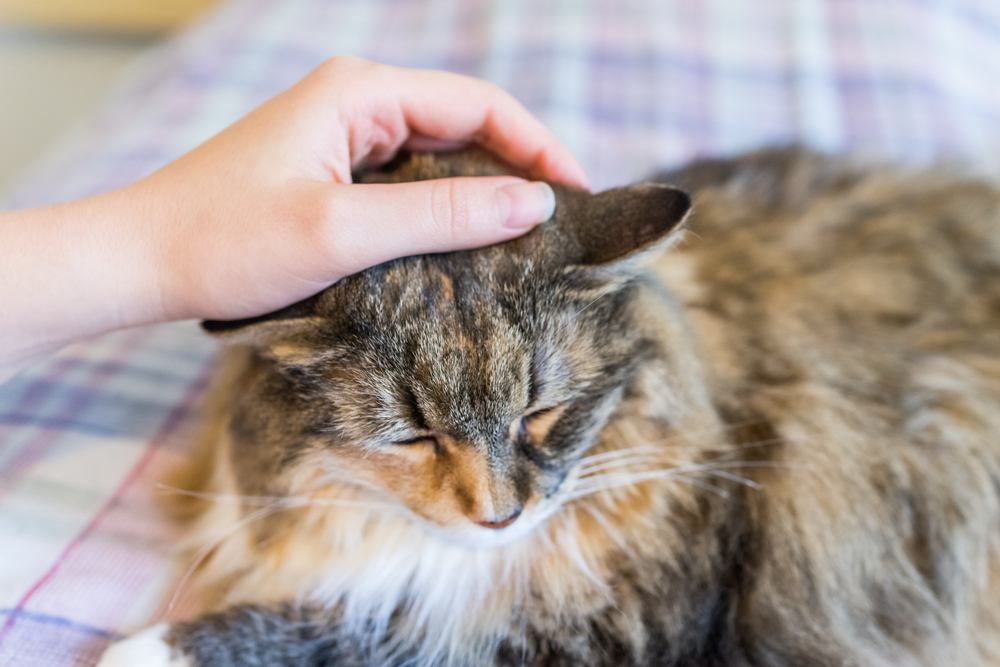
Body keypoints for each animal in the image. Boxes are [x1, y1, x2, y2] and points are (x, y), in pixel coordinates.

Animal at [99, 150, 1000, 667]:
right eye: (413, 436)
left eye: (540, 414)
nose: (500, 517)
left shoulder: (624, 628)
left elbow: (370, 631)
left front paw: (141, 649)